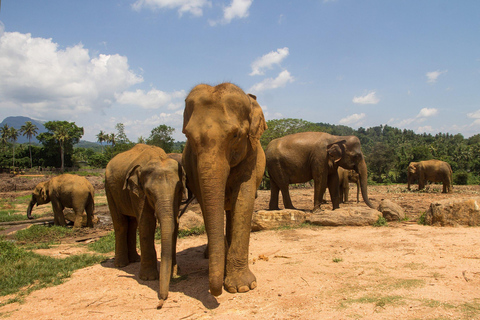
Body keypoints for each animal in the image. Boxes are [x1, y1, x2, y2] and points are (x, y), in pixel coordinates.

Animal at [105, 144, 186, 308]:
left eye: (179, 190)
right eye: (149, 192)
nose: (161, 301)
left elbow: (174, 223)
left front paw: (174, 272)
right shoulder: (138, 193)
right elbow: (147, 223)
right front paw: (148, 278)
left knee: (132, 223)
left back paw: (135, 259)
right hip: (109, 190)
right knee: (121, 223)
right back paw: (121, 265)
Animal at [183, 83, 268, 298]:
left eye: (236, 136)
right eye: (188, 137)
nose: (216, 292)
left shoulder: (251, 153)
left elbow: (244, 199)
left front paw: (242, 287)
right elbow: (206, 203)